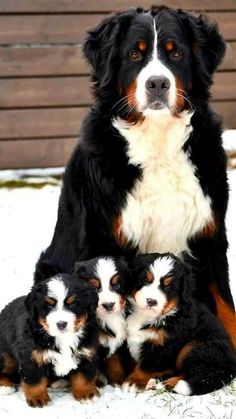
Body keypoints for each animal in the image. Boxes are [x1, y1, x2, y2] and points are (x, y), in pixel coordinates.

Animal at [0, 274, 98, 408]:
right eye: (49, 306)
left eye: (72, 305)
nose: (61, 324)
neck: (63, 338)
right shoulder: (32, 357)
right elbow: (35, 380)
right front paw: (38, 398)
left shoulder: (85, 353)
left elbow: (83, 377)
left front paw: (86, 394)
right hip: (6, 353)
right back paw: (5, 386)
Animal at [34, 5, 235, 348]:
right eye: (134, 55)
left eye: (176, 53)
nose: (157, 84)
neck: (158, 142)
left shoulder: (209, 237)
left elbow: (228, 311)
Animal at [73, 258, 133, 386]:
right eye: (94, 288)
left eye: (117, 285)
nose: (109, 305)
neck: (108, 318)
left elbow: (115, 365)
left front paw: (117, 382)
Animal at [124, 254, 235, 396]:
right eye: (145, 281)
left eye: (167, 287)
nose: (151, 301)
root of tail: (231, 368)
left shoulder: (163, 346)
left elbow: (147, 367)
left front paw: (133, 382)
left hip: (196, 346)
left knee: (202, 374)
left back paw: (169, 384)